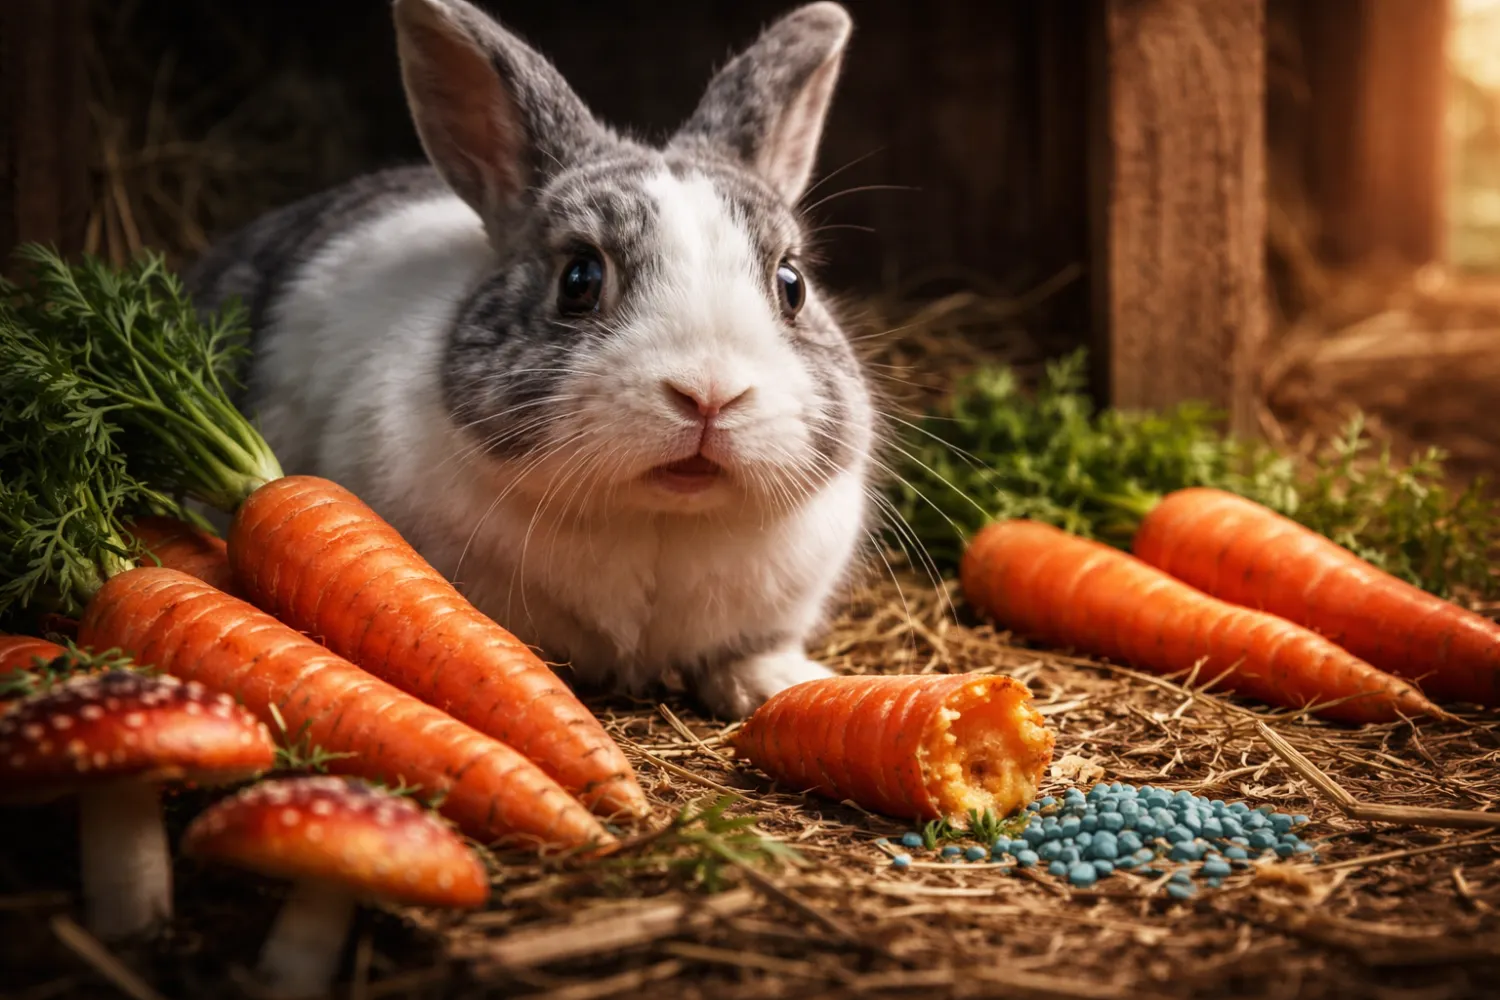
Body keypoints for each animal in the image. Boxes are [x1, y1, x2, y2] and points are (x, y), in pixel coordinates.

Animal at [183, 0, 880, 720]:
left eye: (792, 284)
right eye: (579, 278)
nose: (709, 394)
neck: (658, 516)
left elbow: (747, 652)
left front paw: (777, 685)